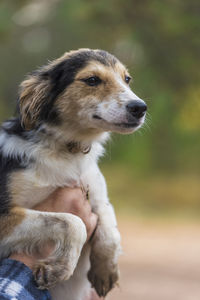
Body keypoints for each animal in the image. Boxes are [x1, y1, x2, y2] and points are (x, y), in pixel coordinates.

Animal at [0, 49, 147, 300]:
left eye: (127, 79)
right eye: (92, 80)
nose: (140, 107)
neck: (68, 151)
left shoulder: (95, 189)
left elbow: (109, 224)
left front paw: (105, 270)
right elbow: (73, 221)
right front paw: (59, 268)